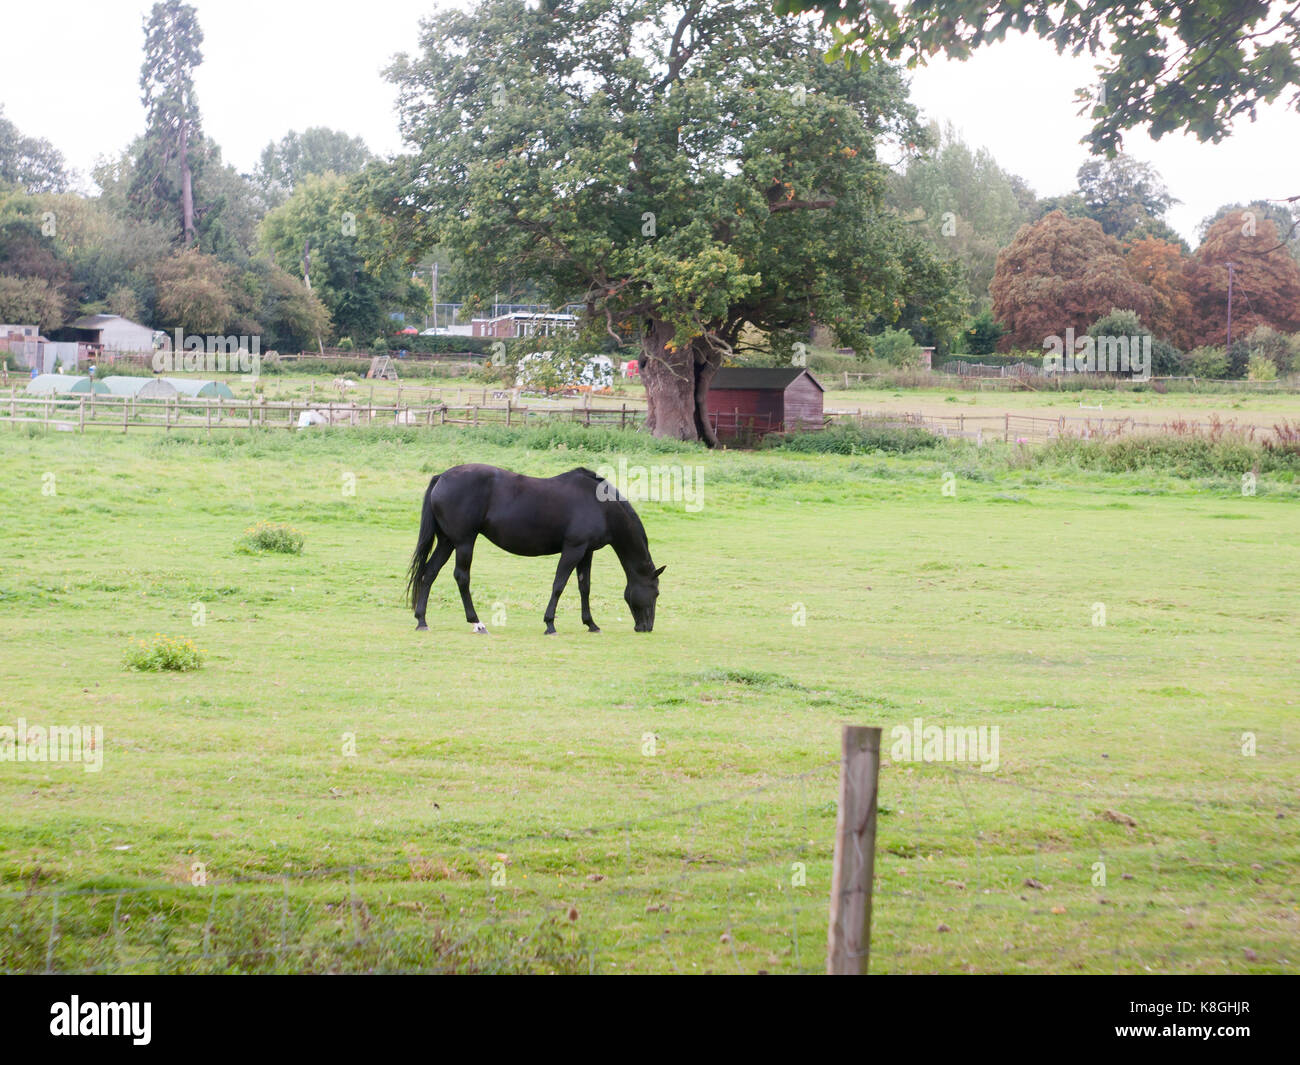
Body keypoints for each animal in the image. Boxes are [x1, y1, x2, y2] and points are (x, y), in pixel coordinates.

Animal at [403, 465, 670, 631]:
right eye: (656, 593)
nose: (646, 627)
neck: (600, 505)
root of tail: (442, 477)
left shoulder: (586, 552)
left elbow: (584, 587)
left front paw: (591, 624)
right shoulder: (573, 549)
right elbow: (559, 585)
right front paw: (550, 623)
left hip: (447, 541)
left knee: (429, 573)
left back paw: (422, 620)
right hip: (464, 542)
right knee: (461, 577)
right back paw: (476, 621)